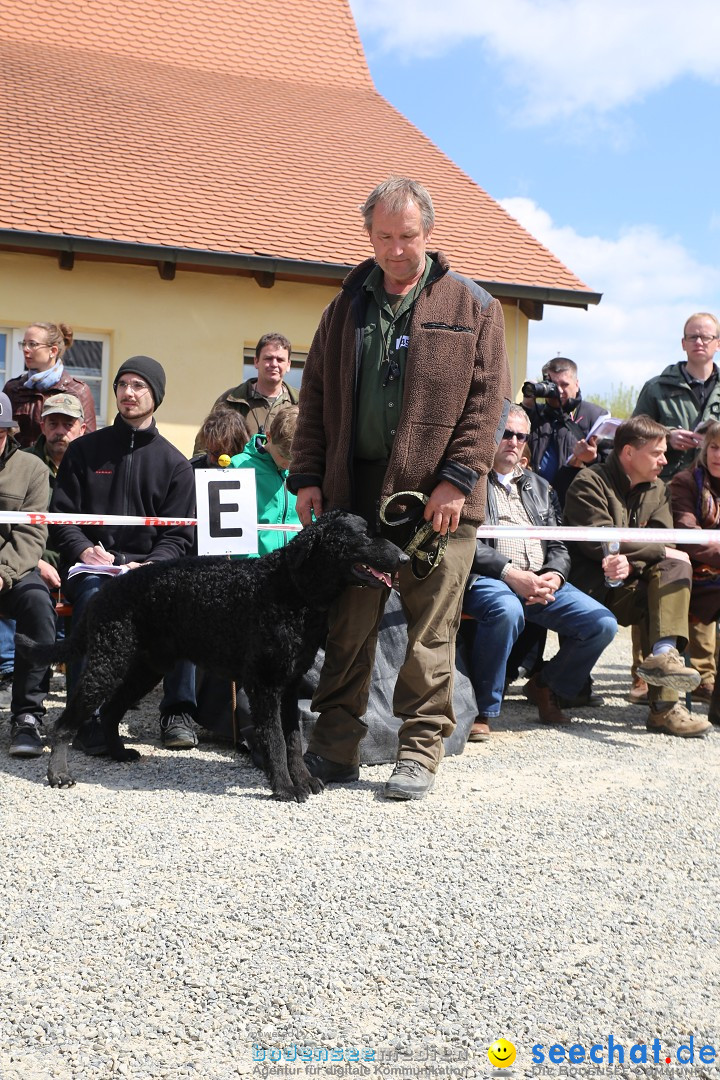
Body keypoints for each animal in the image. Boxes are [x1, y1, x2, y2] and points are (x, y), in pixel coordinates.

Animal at [18, 509, 405, 799]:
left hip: (145, 668)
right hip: (107, 665)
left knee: (111, 711)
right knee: (64, 724)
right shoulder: (264, 686)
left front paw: (305, 780)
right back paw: (58, 774)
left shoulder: (289, 685)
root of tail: (104, 591)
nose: (404, 557)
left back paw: (118, 754)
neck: (291, 588)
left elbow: (294, 740)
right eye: (364, 535)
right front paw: (284, 787)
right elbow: (276, 741)